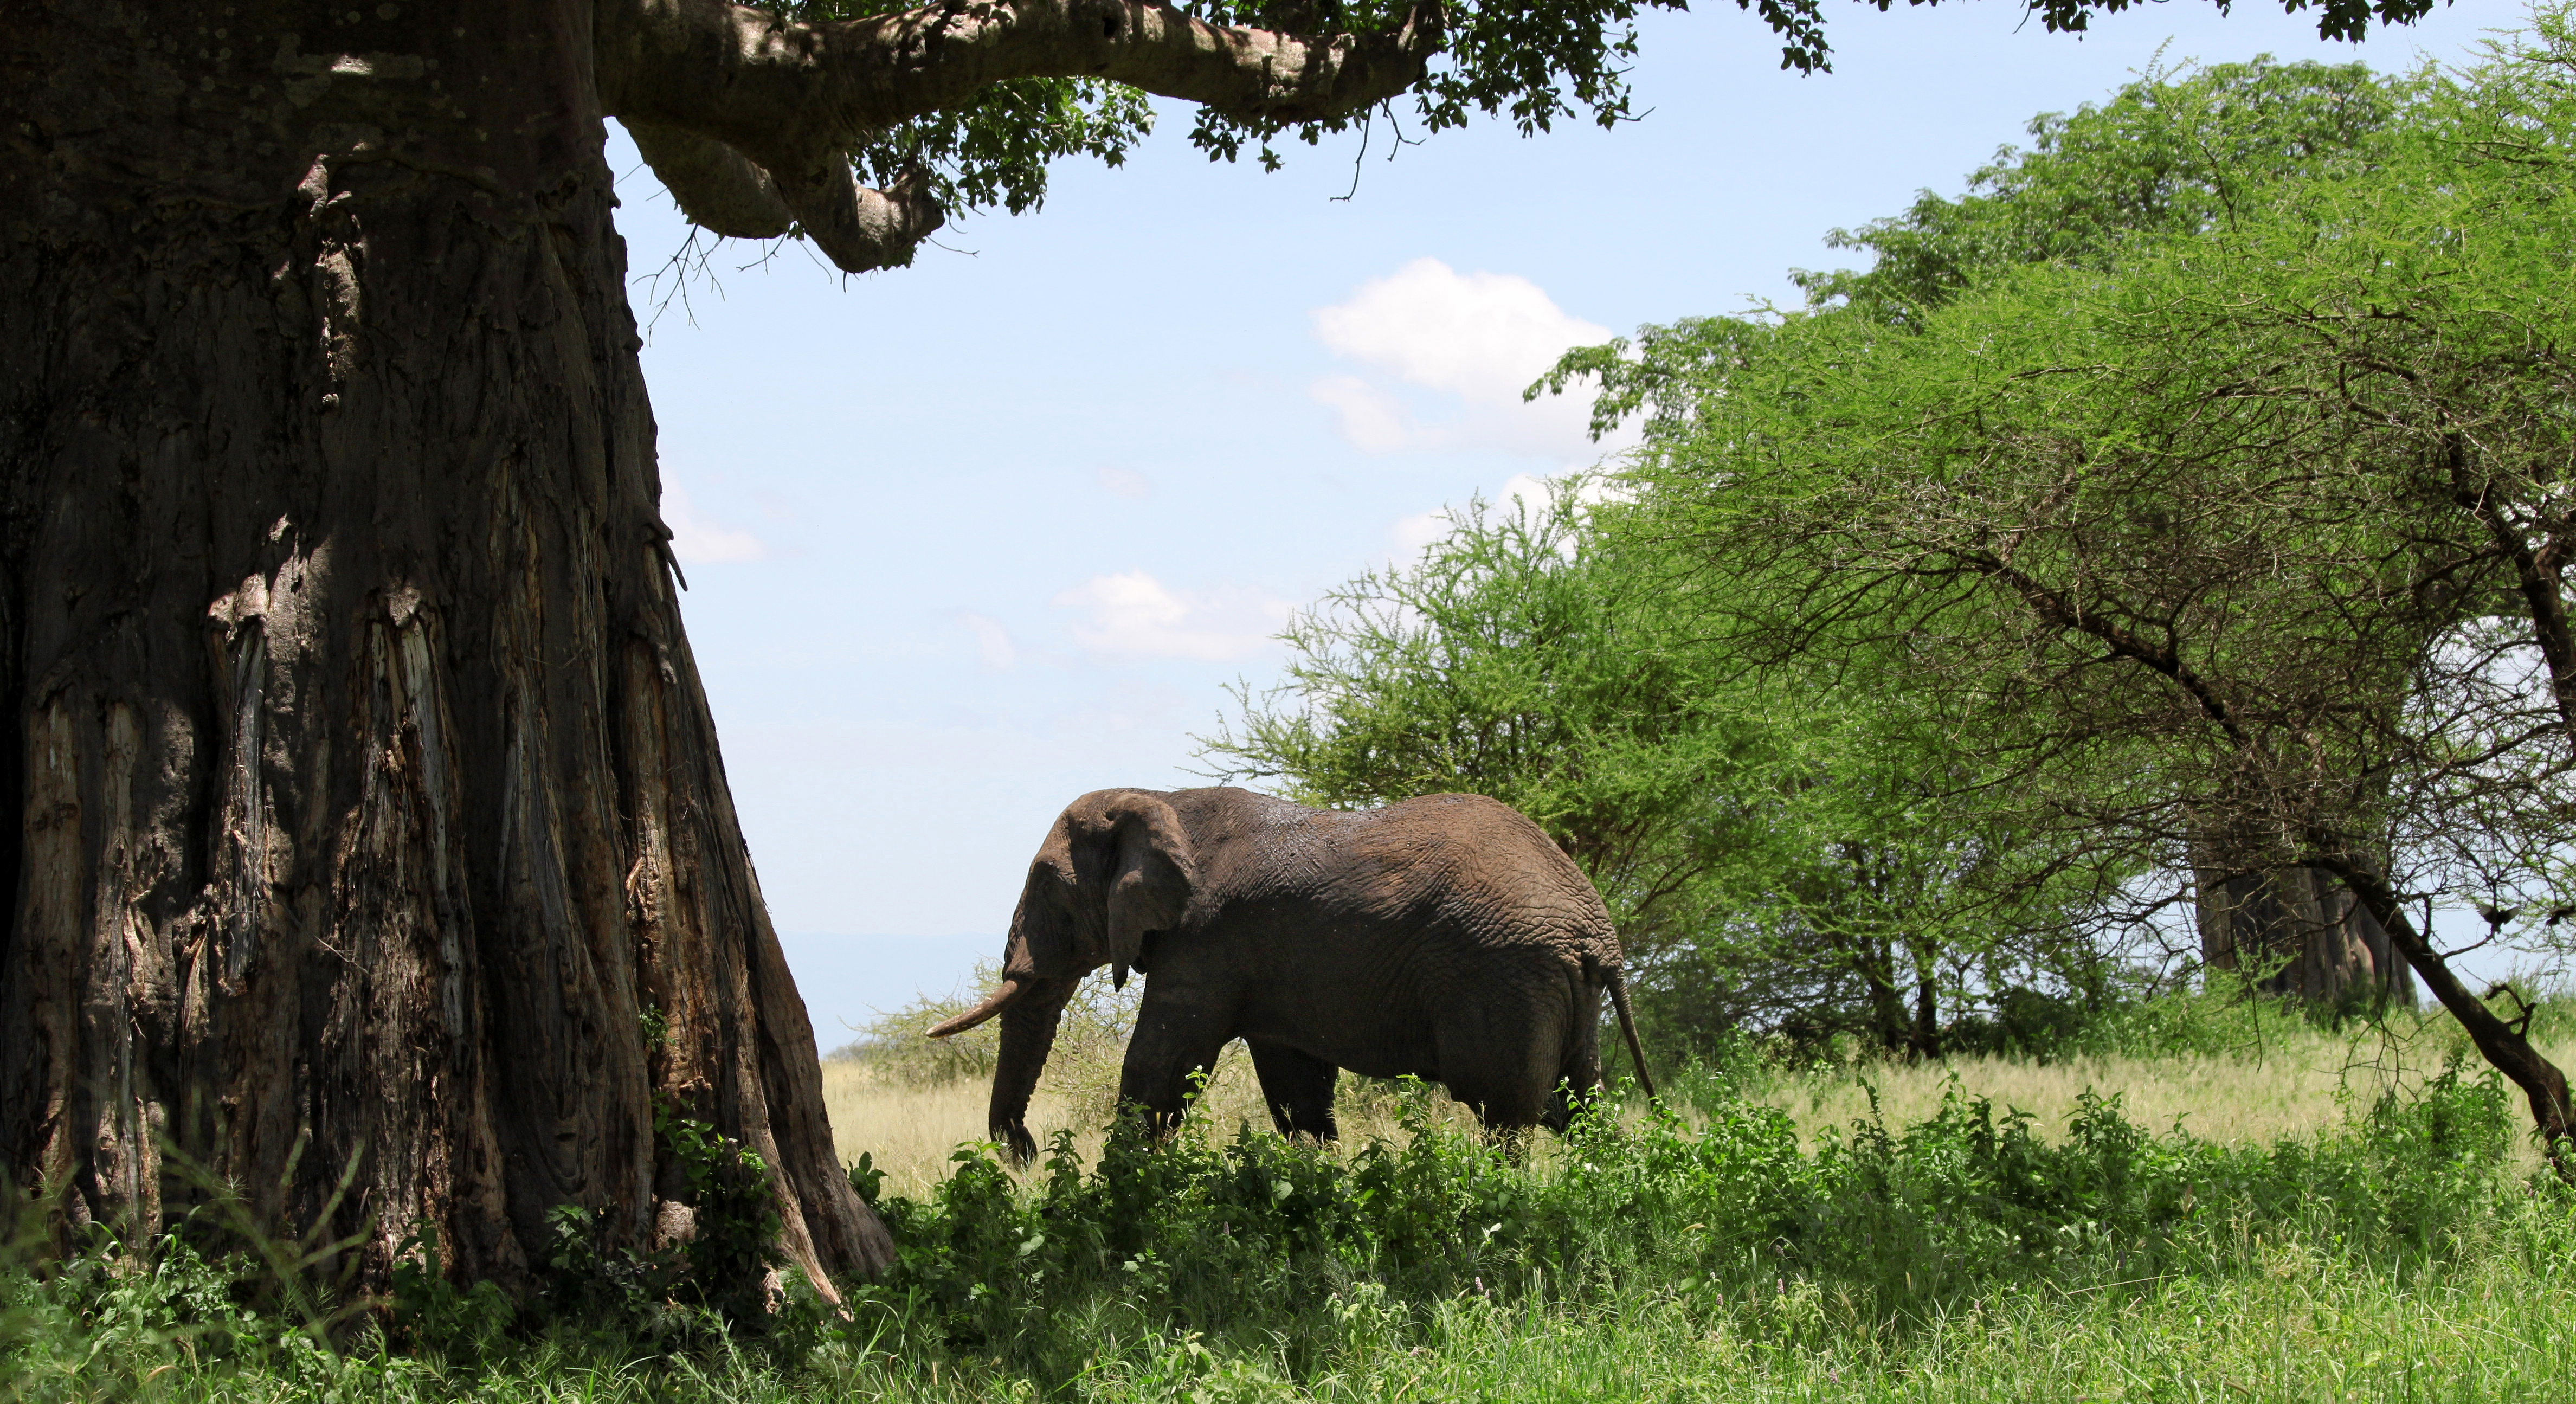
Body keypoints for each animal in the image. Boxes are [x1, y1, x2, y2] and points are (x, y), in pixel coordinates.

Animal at [928, 785, 1654, 1162]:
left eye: (1048, 885)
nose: (1025, 1150)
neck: (1159, 798)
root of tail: (1597, 928)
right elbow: (1295, 1091)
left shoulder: (1205, 940)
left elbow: (1158, 1068)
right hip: (1556, 986)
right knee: (1577, 1106)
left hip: (1505, 978)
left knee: (1505, 1112)